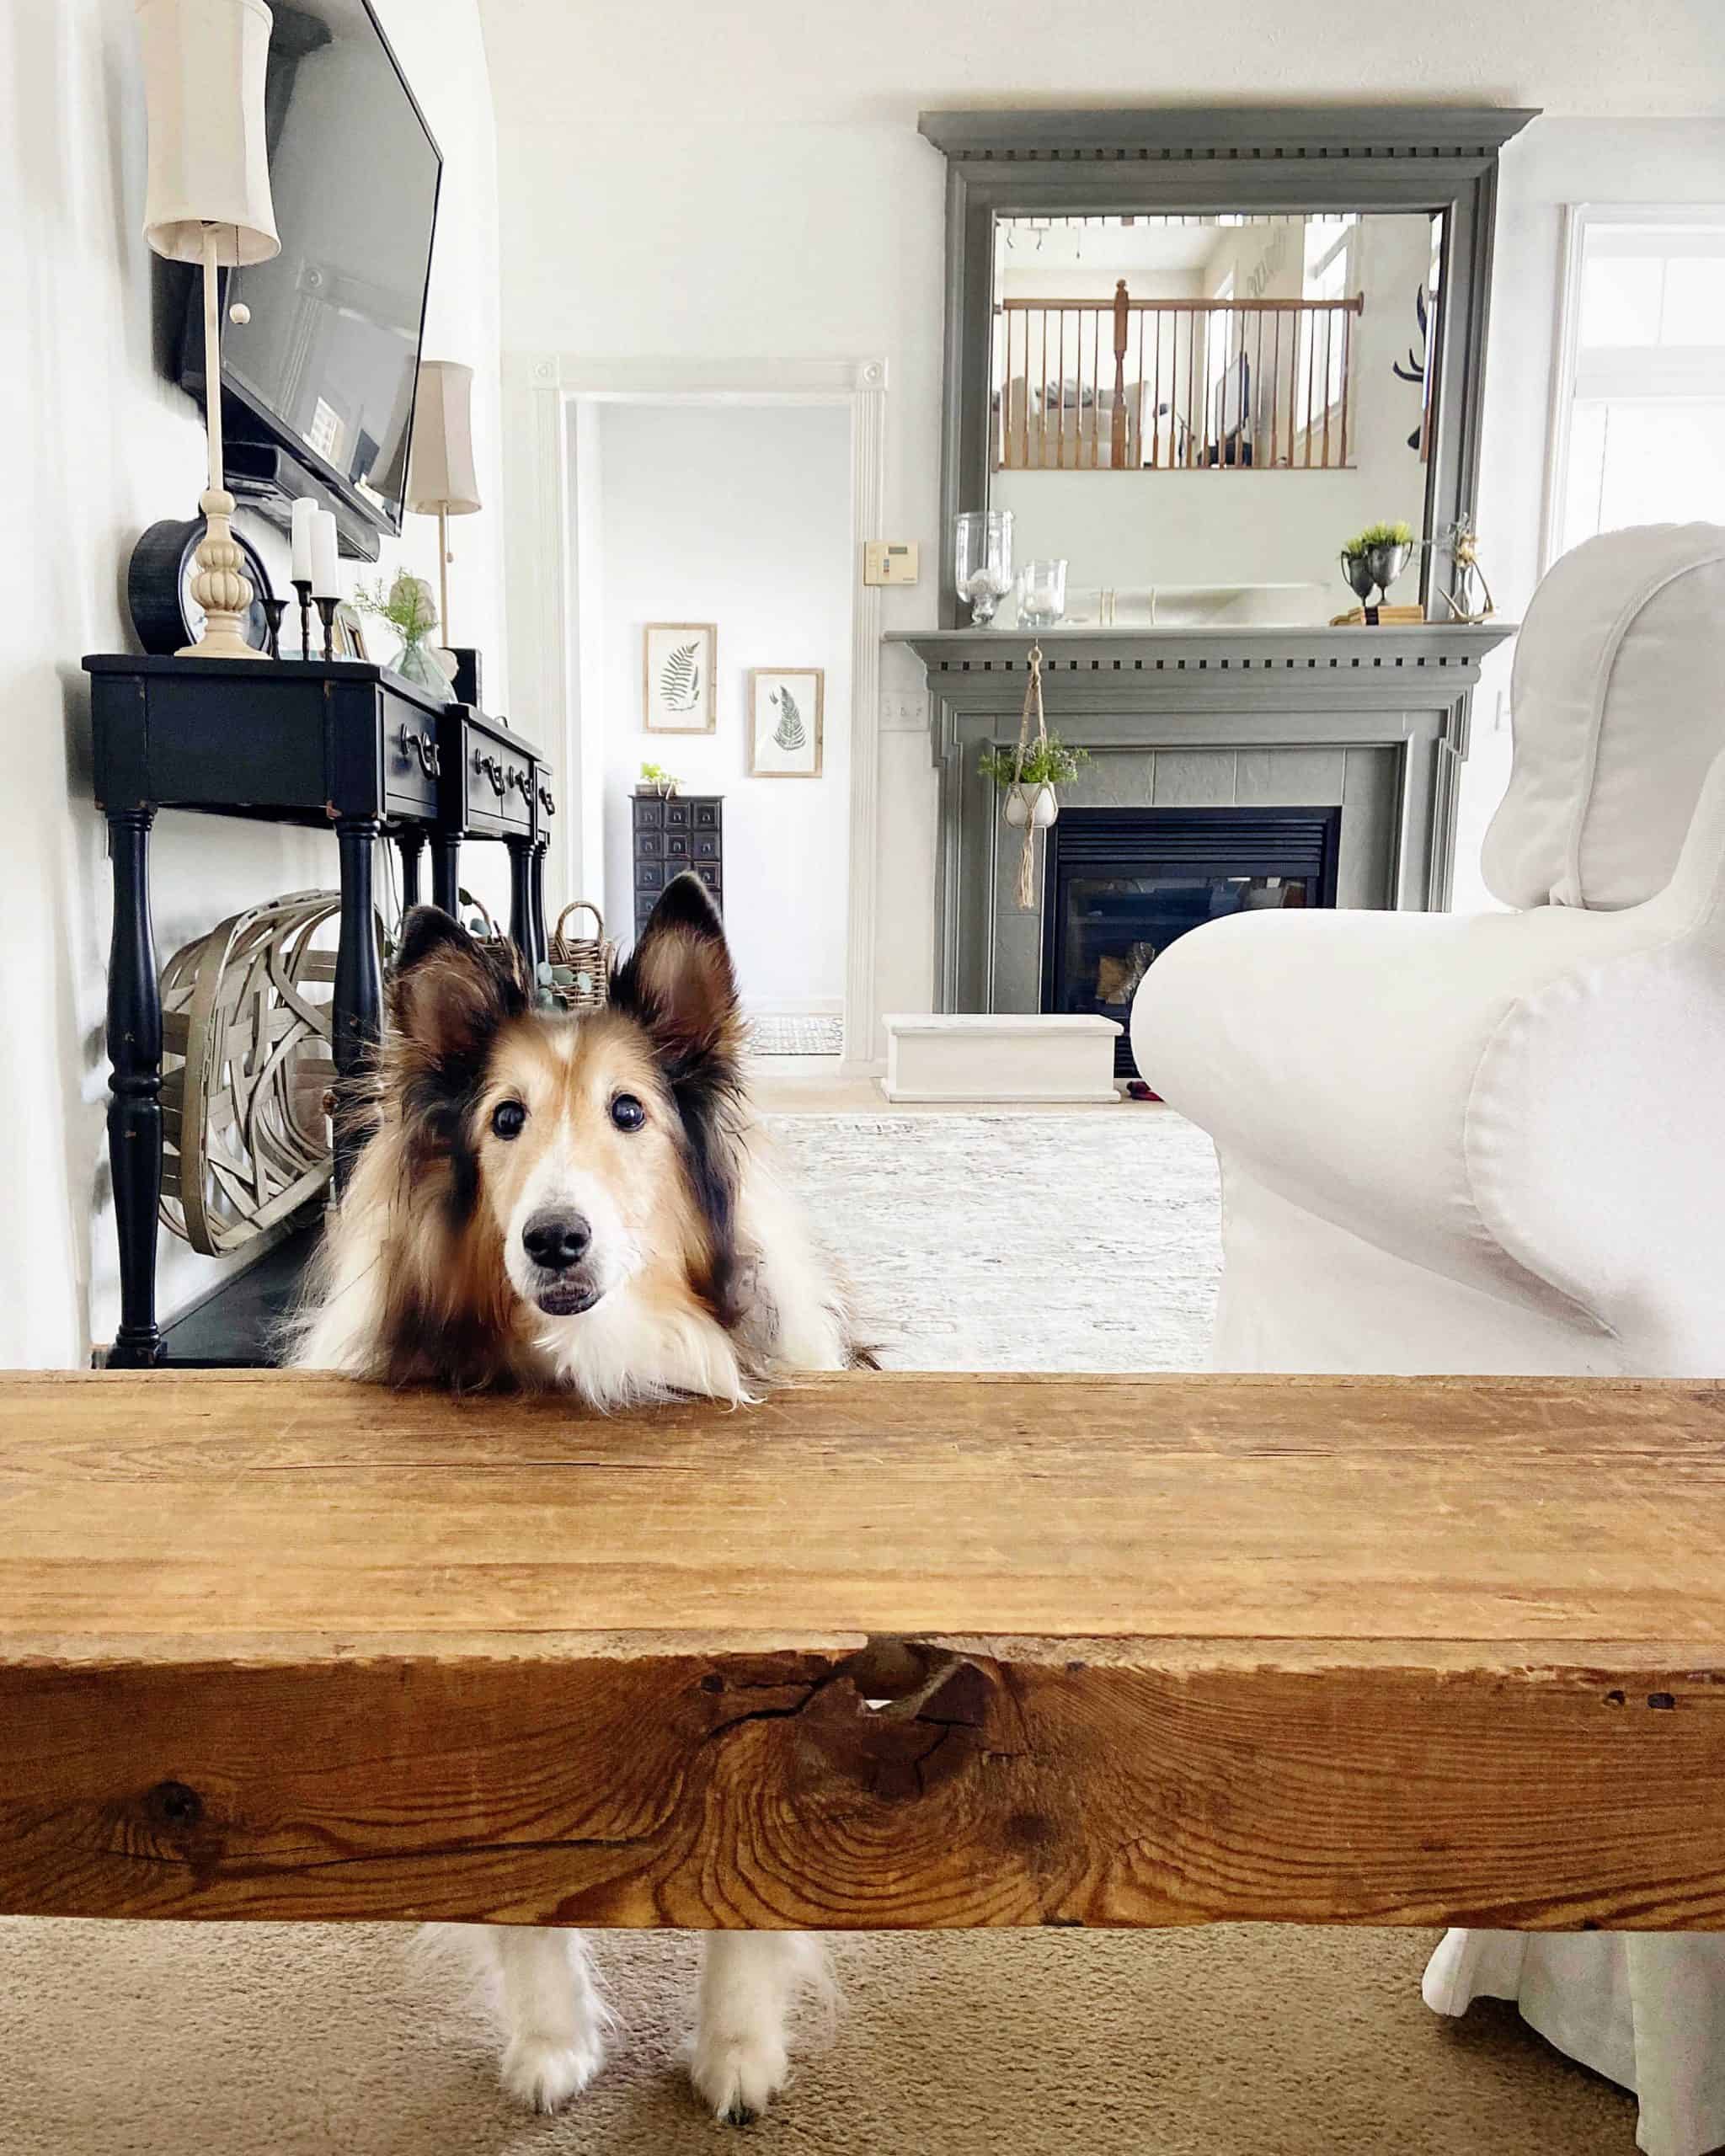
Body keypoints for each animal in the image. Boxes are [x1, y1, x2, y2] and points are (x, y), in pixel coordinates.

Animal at [295, 875, 871, 2121]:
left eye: (627, 1112)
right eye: (505, 1119)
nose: (554, 1239)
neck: (601, 1361)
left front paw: (737, 2053)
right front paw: (553, 2047)